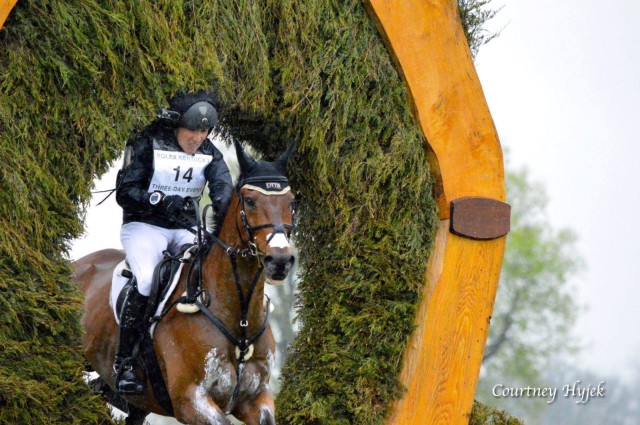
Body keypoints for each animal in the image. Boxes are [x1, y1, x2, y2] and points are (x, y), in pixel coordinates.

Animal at [72, 142, 296, 424]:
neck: (239, 318)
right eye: (250, 201)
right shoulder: (190, 400)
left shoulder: (256, 400)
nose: (280, 261)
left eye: (291, 202)